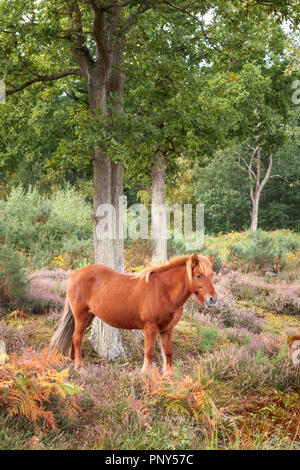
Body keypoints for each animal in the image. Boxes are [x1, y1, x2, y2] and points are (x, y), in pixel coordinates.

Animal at [50, 253, 217, 374]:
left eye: (212, 275)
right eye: (198, 275)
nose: (213, 299)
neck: (163, 291)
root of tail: (75, 275)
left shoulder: (167, 329)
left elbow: (168, 352)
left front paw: (169, 375)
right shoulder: (150, 328)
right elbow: (149, 352)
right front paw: (144, 374)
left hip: (88, 317)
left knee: (74, 337)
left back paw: (72, 362)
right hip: (81, 315)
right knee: (77, 338)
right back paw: (80, 367)